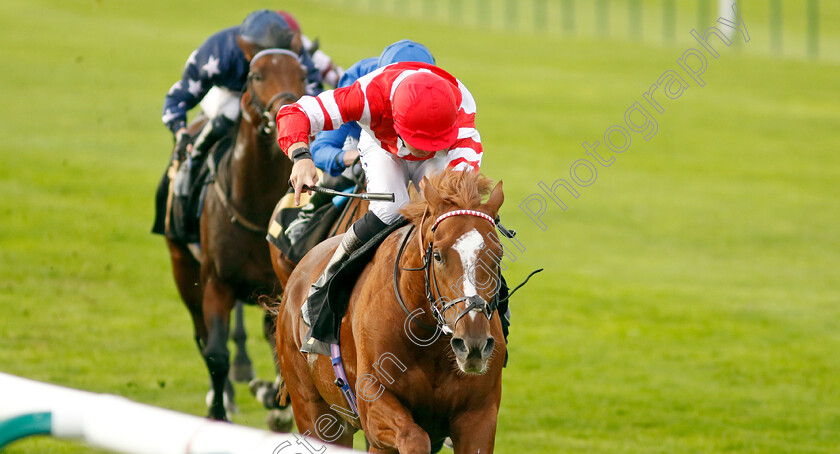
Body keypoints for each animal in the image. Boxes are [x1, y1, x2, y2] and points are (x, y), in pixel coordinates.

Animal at [164, 48, 306, 420]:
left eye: (302, 74)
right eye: (256, 75)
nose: (286, 108)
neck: (253, 202)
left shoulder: (279, 284)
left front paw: (276, 402)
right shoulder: (216, 282)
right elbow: (216, 353)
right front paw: (218, 412)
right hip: (183, 268)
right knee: (204, 338)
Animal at [278, 171, 508, 454]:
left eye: (497, 256)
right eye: (438, 256)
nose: (473, 343)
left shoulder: (478, 417)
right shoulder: (374, 405)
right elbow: (413, 437)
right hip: (314, 413)